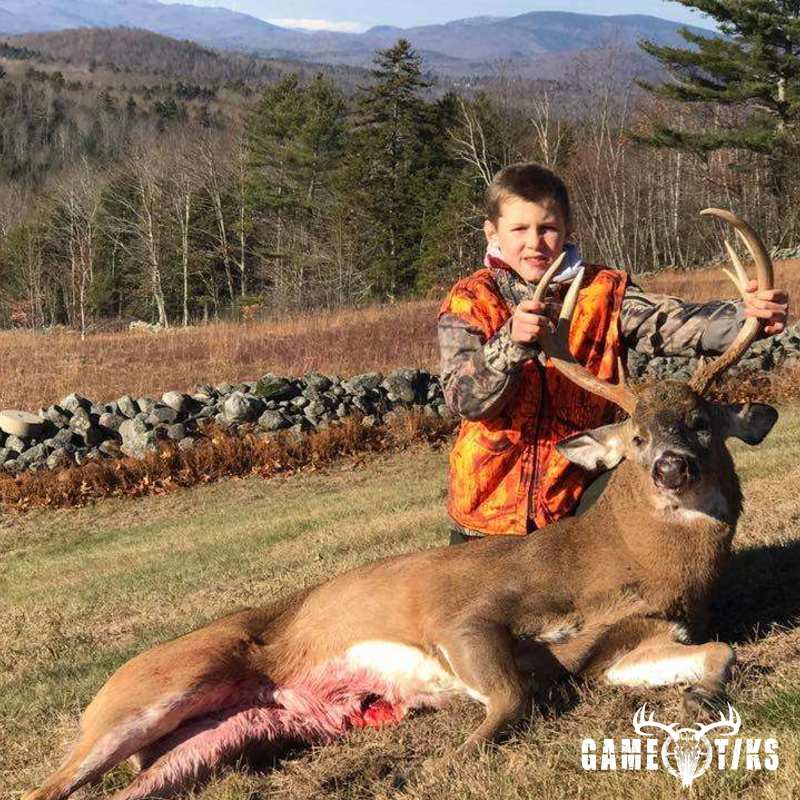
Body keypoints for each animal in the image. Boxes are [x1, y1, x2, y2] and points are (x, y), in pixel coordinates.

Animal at [25, 209, 778, 800]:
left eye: (702, 423)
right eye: (637, 437)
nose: (673, 468)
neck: (619, 567)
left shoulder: (619, 649)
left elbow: (719, 655)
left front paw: (702, 695)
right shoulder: (466, 615)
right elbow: (511, 696)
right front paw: (437, 764)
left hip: (225, 737)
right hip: (156, 685)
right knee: (51, 784)